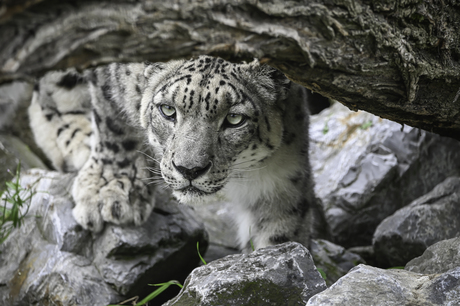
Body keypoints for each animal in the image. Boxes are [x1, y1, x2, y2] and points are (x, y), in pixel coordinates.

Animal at [28, 55, 326, 251]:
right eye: (168, 110)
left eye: (234, 119)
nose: (189, 169)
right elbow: (113, 122)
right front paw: (111, 191)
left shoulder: (279, 178)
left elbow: (280, 234)